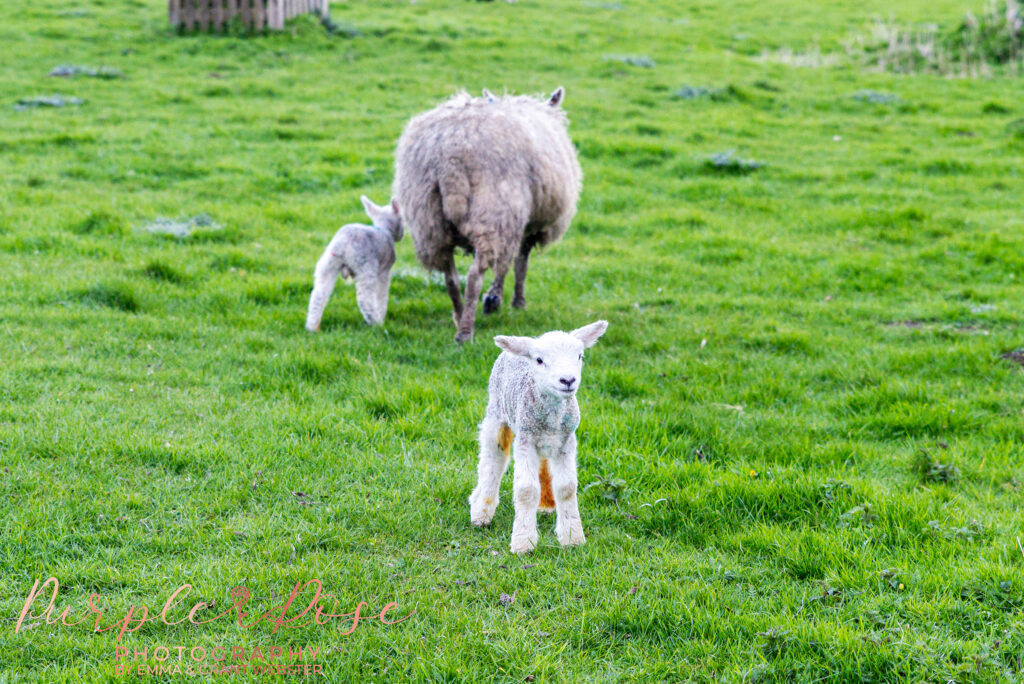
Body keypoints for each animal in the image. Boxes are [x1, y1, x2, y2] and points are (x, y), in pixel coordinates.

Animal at [301, 194, 401, 331]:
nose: (401, 236)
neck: (384, 229)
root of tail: (343, 243)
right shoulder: (384, 271)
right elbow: (381, 295)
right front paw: (381, 313)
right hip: (365, 267)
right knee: (365, 299)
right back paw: (377, 324)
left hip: (327, 264)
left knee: (318, 295)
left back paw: (312, 326)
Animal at [393, 87, 585, 342]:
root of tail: (449, 160)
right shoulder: (525, 223)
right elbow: (518, 263)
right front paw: (509, 301)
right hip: (493, 214)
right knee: (474, 276)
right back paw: (465, 333)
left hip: (428, 220)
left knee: (450, 277)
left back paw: (459, 315)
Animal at [468, 321, 606, 557]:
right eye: (540, 360)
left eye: (579, 356)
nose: (568, 380)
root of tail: (523, 342)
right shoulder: (525, 440)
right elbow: (526, 490)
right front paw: (523, 542)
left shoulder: (565, 441)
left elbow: (567, 487)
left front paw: (572, 538)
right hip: (496, 413)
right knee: (492, 459)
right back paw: (481, 511)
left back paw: (546, 505)